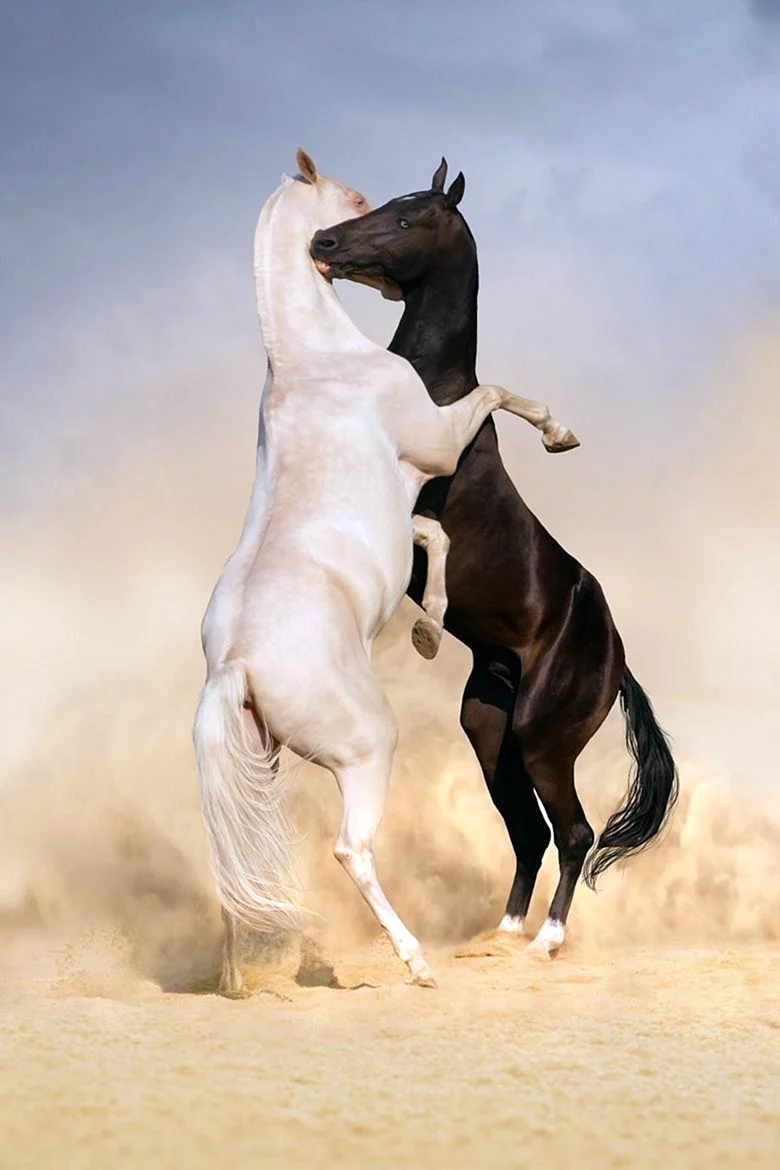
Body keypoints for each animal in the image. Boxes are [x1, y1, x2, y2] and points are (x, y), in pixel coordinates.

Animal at [193, 150, 581, 994]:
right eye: (369, 200)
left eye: (403, 212)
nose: (328, 247)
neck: (316, 364)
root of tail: (235, 666)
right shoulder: (438, 440)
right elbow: (496, 390)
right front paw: (560, 432)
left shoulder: (418, 499)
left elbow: (432, 535)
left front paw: (432, 626)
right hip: (368, 749)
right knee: (351, 849)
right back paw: (417, 962)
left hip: (260, 763)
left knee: (237, 862)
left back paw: (239, 979)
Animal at [310, 158, 679, 958]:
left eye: (407, 218)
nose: (323, 240)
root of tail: (618, 660)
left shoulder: (407, 512)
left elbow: (431, 537)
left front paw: (425, 625)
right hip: (490, 731)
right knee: (528, 833)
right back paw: (502, 935)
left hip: (543, 737)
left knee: (572, 831)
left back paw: (546, 942)